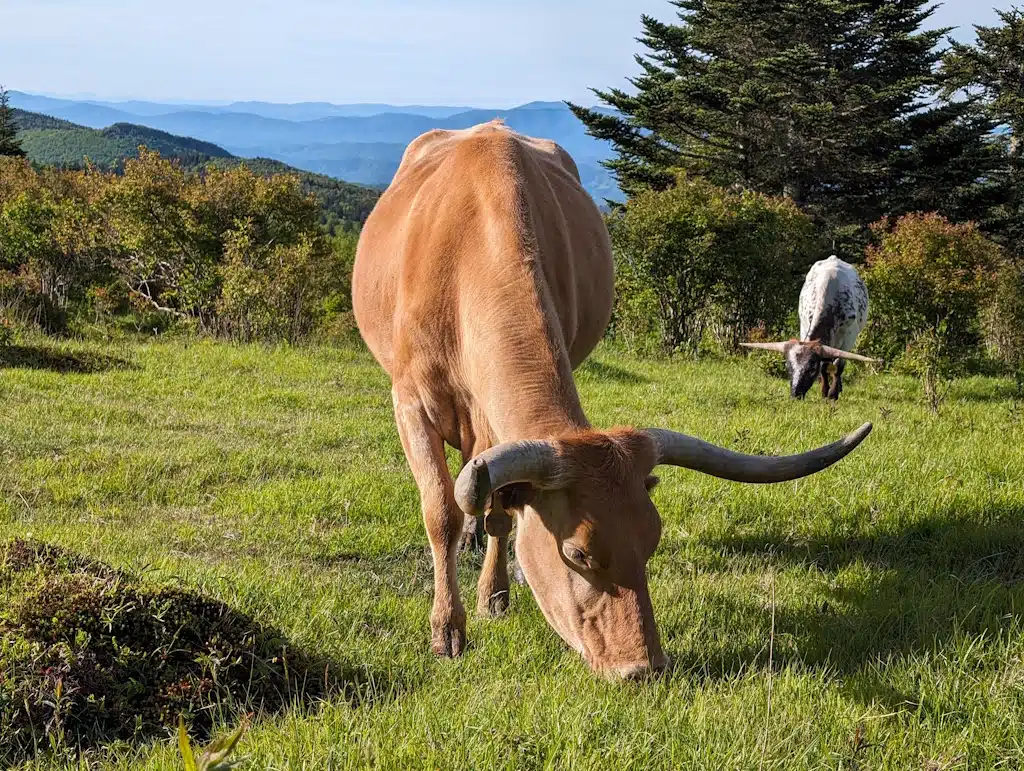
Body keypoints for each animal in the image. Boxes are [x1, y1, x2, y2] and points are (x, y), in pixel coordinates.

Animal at [742, 256, 878, 400]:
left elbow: (838, 366)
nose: (795, 394)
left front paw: (832, 394)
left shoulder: (849, 338)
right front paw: (824, 391)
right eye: (788, 366)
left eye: (811, 368)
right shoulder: (805, 326)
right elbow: (824, 366)